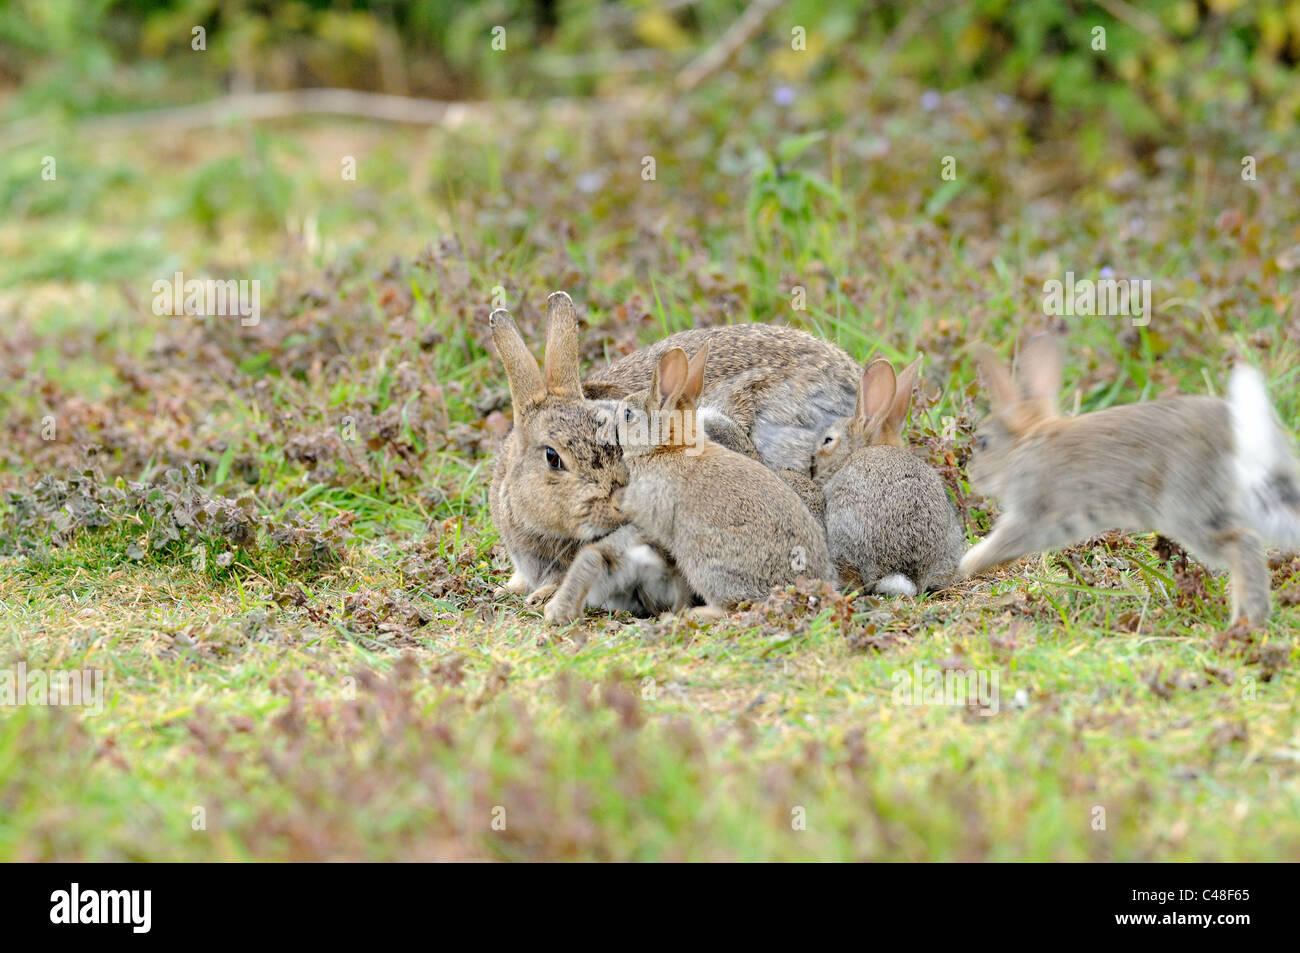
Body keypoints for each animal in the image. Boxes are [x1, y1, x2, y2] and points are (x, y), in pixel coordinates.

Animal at [961, 335, 1300, 624]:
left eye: (983, 442)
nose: (974, 476)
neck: (1025, 443)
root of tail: (1243, 438)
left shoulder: (1033, 514)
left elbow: (1002, 542)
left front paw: (966, 564)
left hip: (1187, 510)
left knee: (1242, 544)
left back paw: (1245, 619)